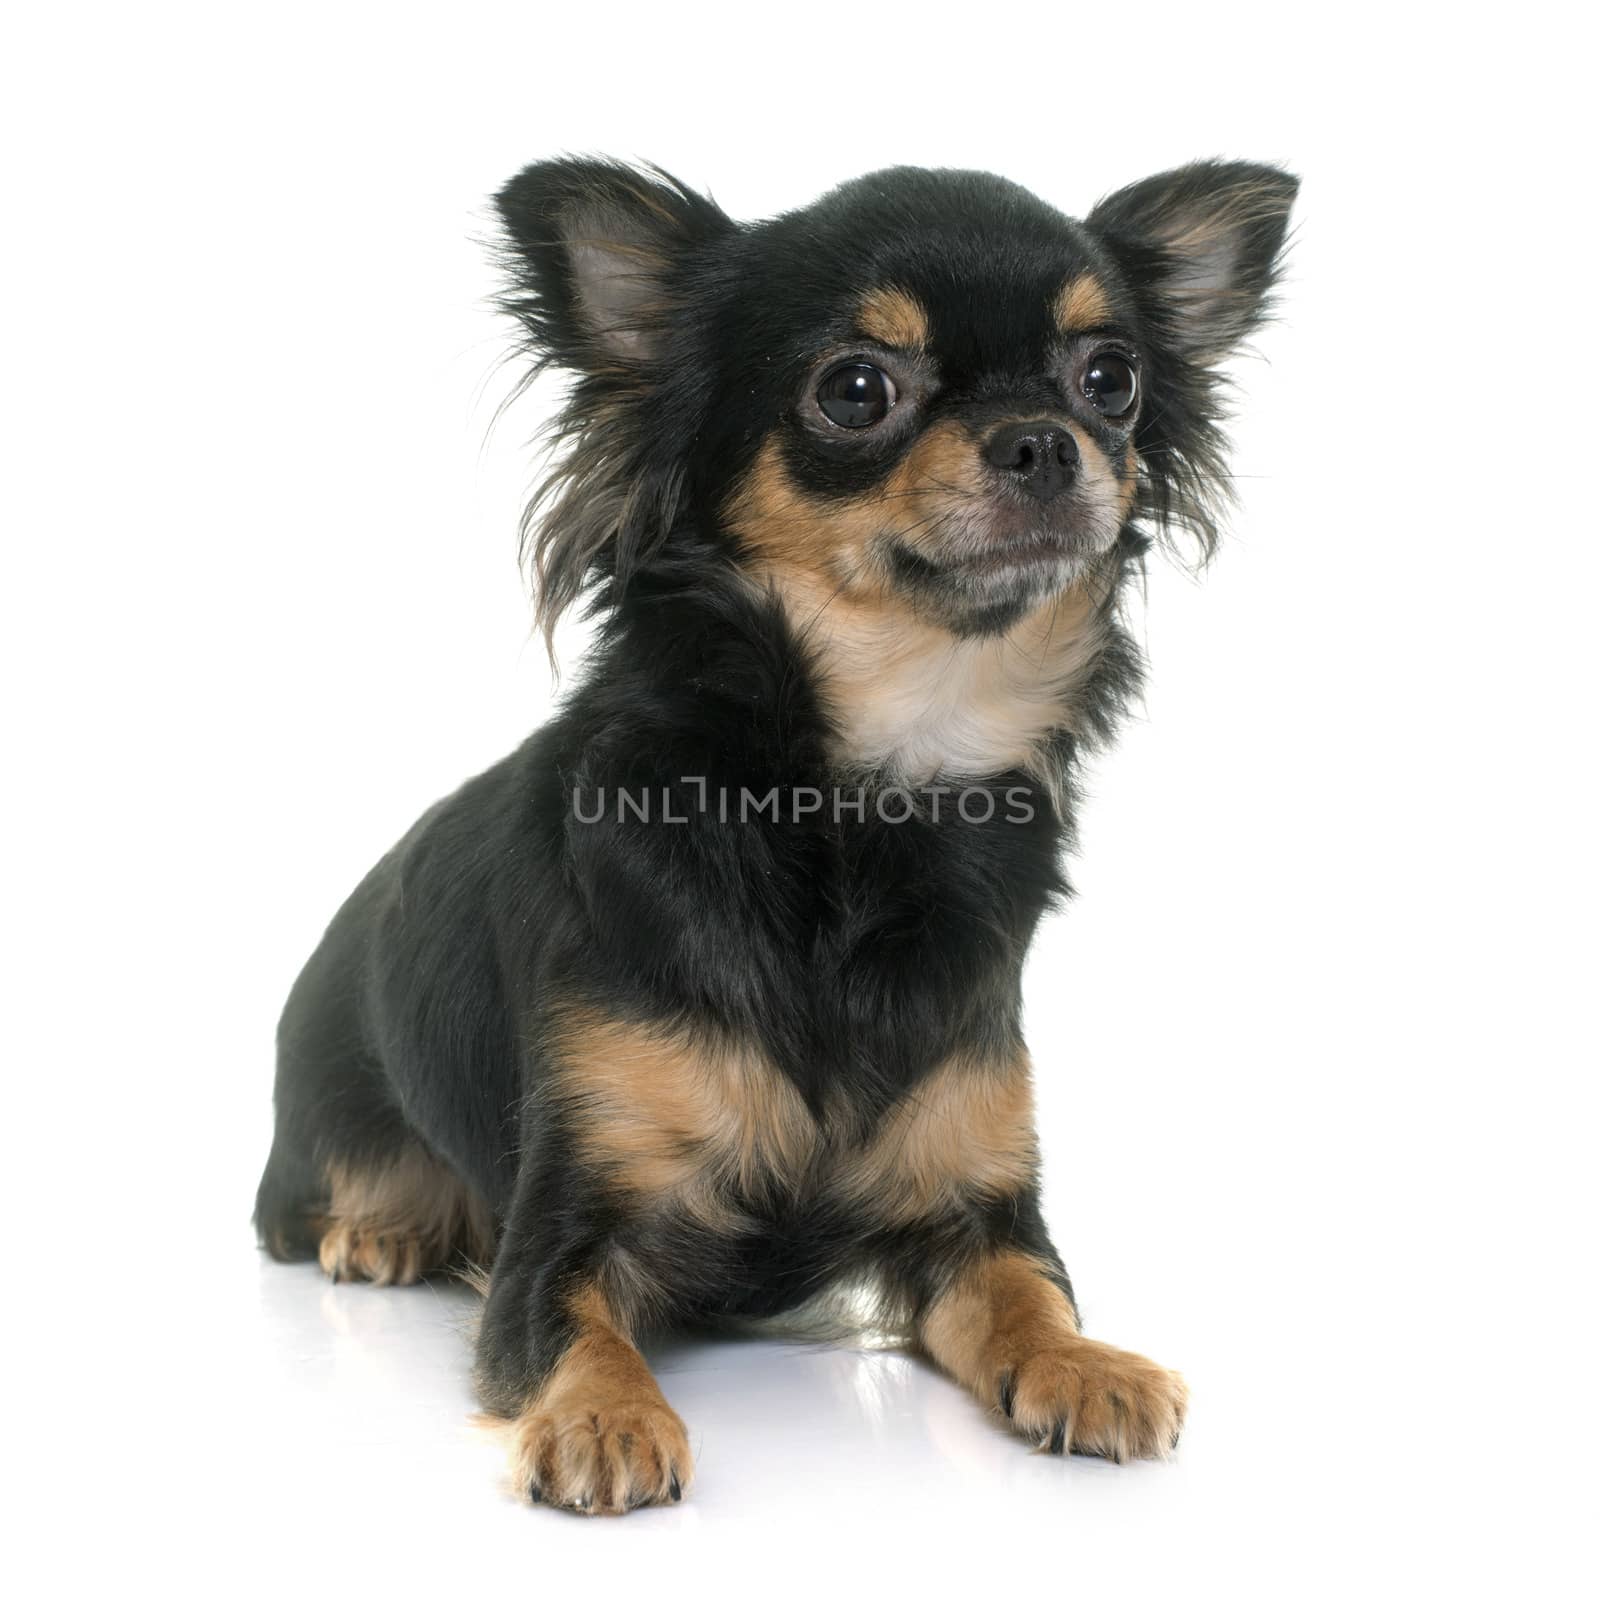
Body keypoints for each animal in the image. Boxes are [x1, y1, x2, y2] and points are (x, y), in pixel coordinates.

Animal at [256, 156, 1292, 1516]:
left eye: (1109, 376)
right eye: (855, 389)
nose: (1044, 438)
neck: (859, 805)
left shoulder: (973, 1215)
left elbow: (1030, 1289)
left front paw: (1086, 1361)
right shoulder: (562, 1228)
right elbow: (576, 1322)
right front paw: (604, 1414)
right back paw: (382, 1226)